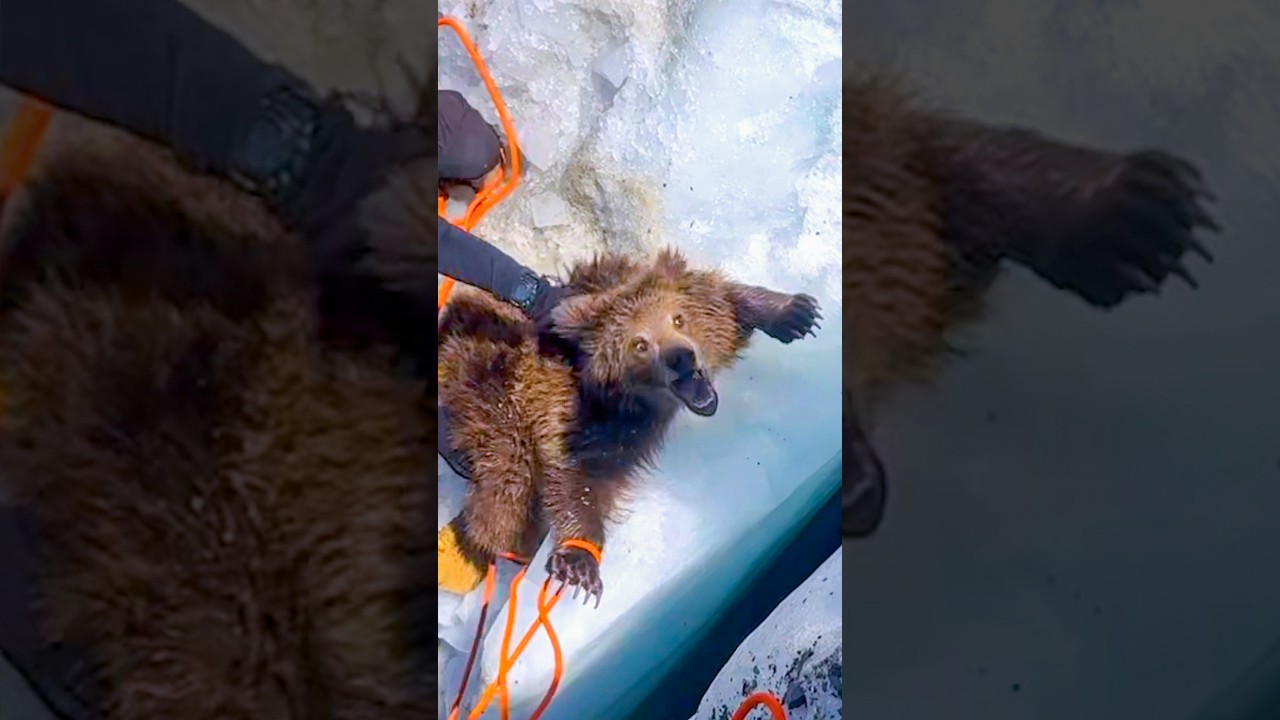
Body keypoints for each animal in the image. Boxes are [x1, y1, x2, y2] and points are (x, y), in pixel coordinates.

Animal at [436, 248, 822, 603]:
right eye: (639, 344)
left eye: (678, 319)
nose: (681, 357)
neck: (642, 405)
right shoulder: (582, 418)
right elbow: (576, 479)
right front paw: (579, 564)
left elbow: (727, 298)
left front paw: (795, 312)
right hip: (490, 402)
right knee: (505, 491)